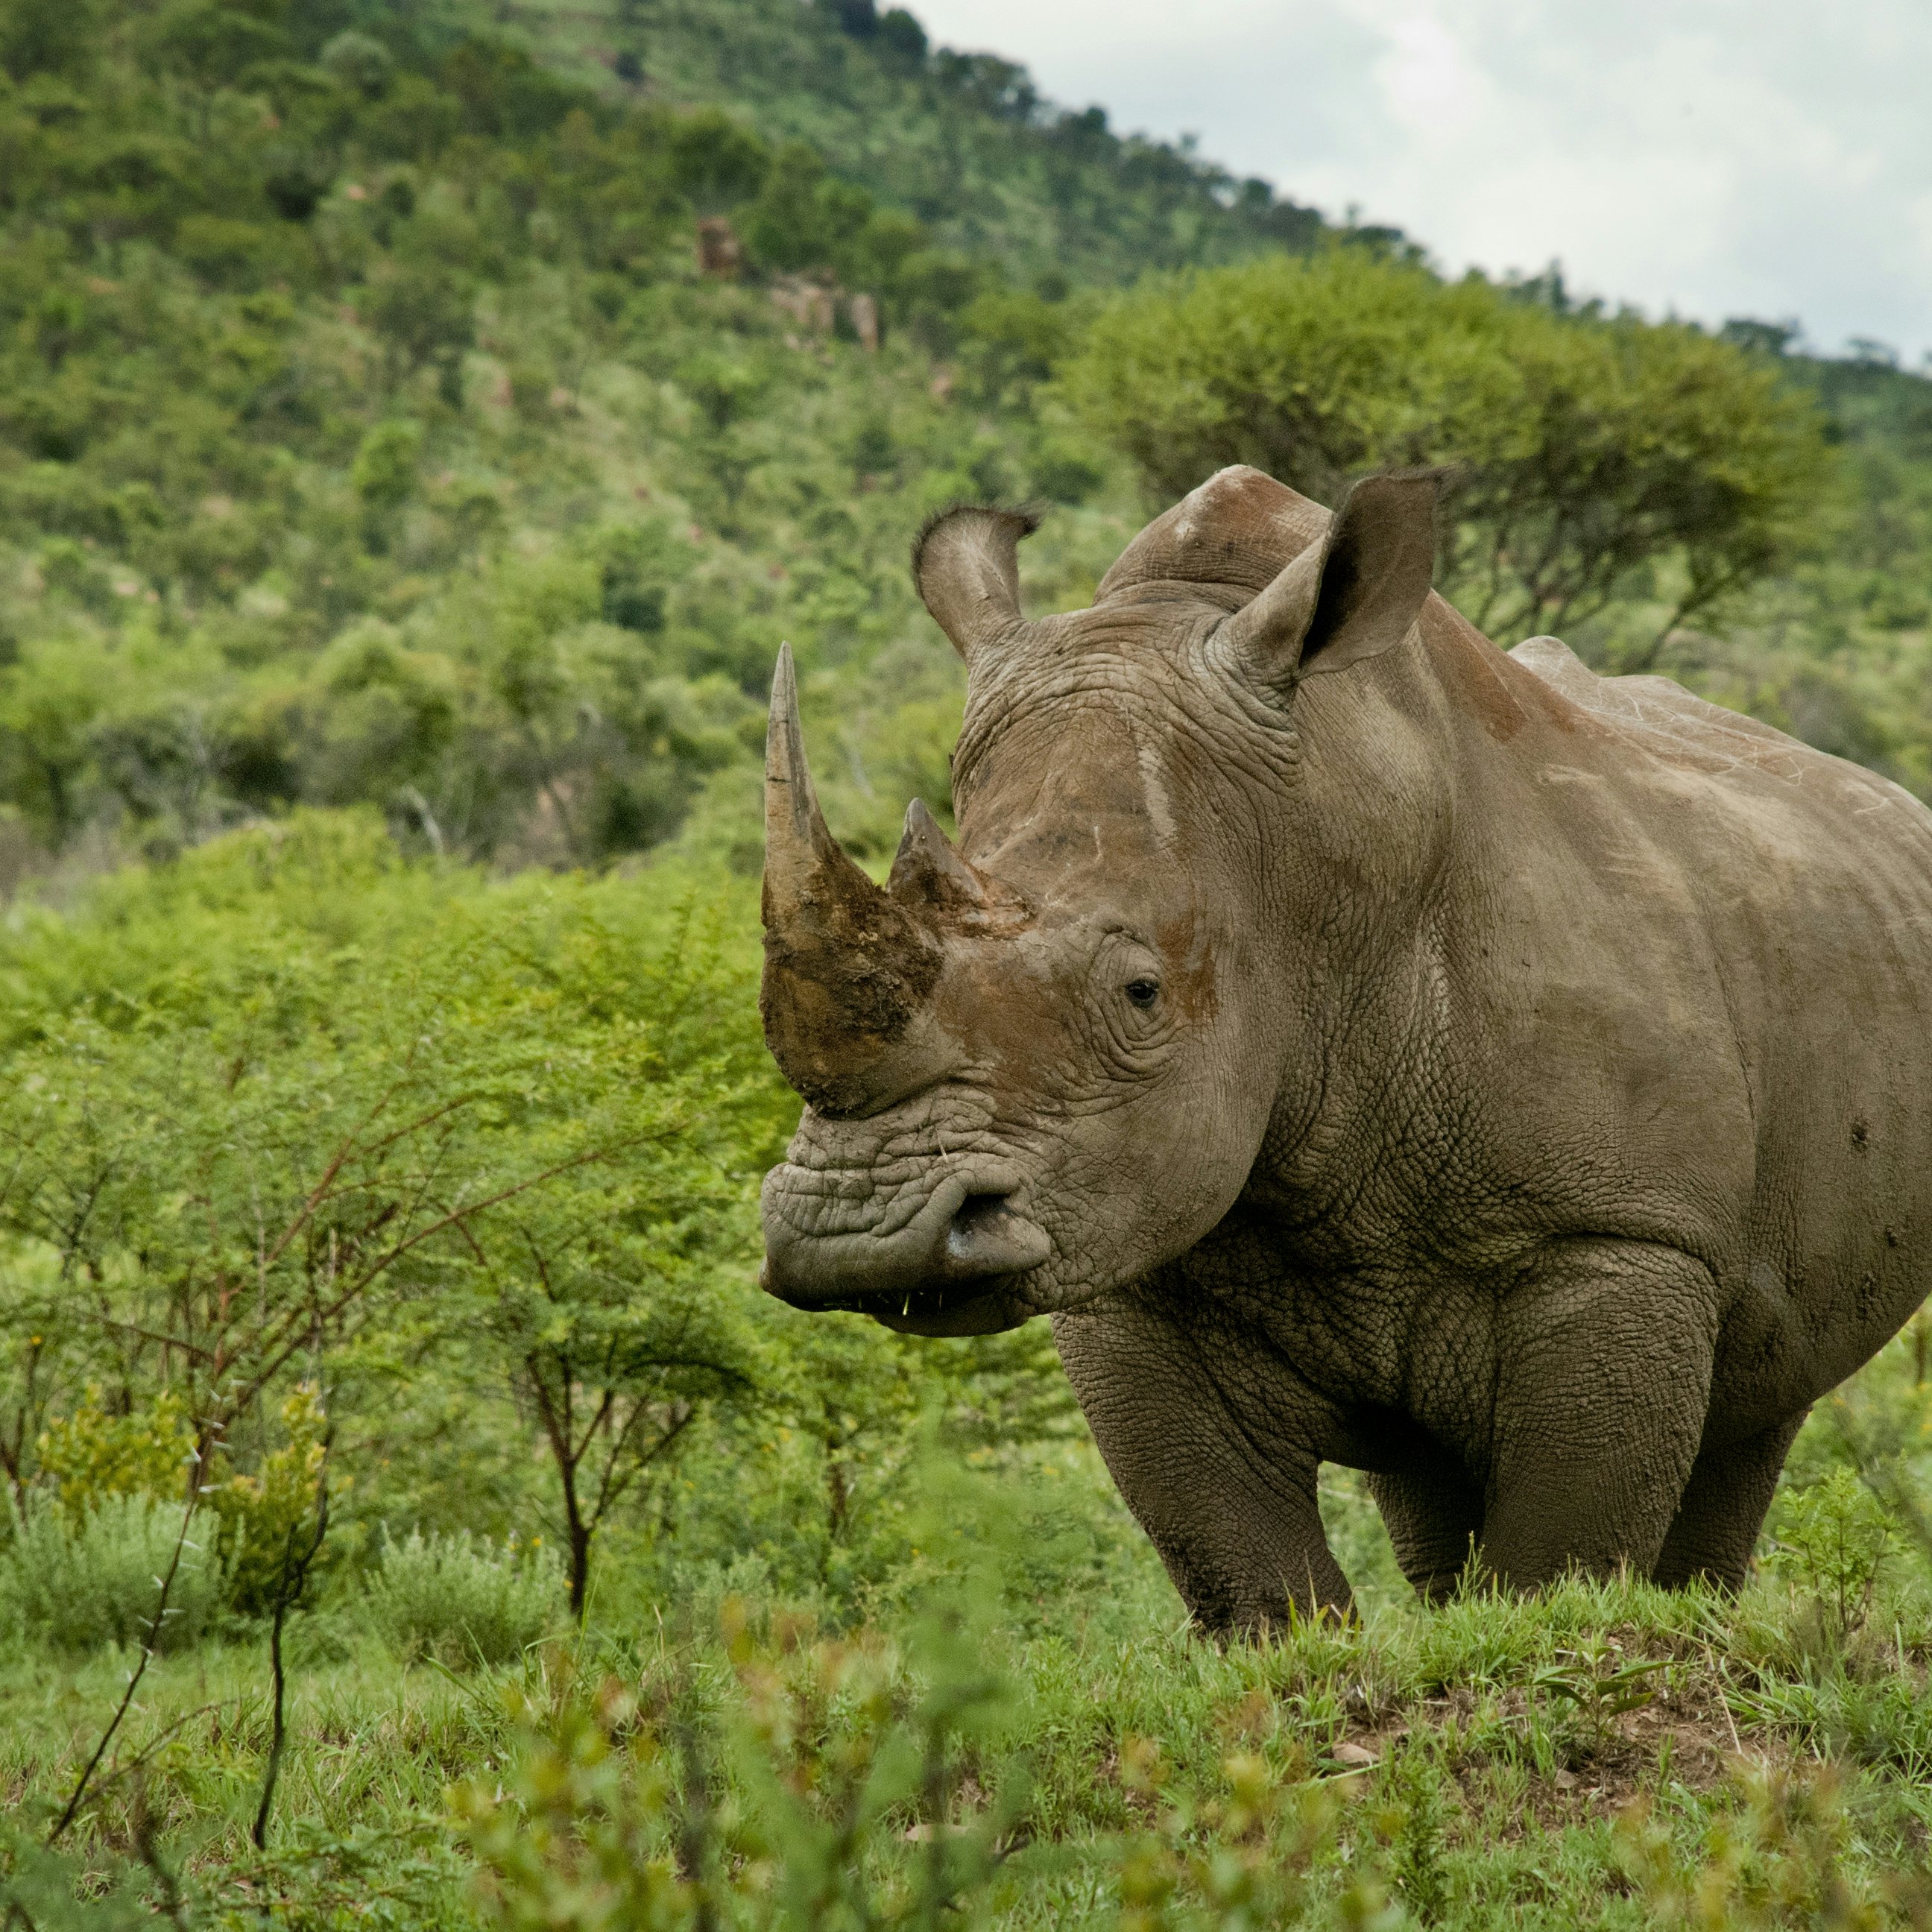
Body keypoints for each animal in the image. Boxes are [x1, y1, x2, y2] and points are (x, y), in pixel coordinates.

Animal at [756, 465, 1932, 1630]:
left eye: (1141, 994)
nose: (857, 1236)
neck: (1316, 868)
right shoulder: (1123, 1241)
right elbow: (1246, 1570)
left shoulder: (1624, 1230)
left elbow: (1557, 1563)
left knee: (1761, 1404)